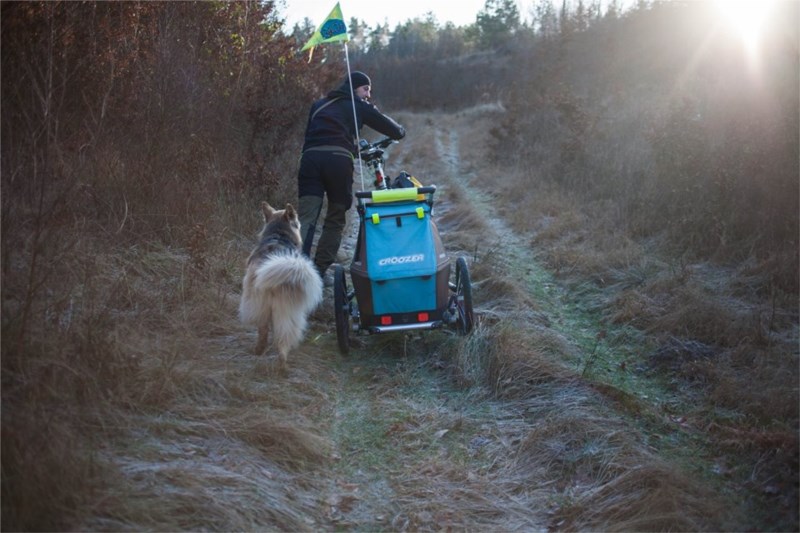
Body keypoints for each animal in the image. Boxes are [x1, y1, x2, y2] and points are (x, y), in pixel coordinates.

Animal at [239, 202, 324, 368]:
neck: (279, 235)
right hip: (287, 309)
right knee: (283, 336)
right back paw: (281, 363)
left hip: (262, 305)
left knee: (265, 330)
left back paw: (261, 351)